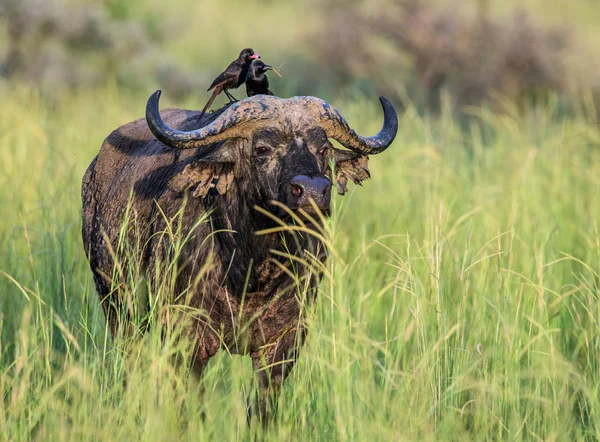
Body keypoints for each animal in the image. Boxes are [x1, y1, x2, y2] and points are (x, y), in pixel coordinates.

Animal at [81, 89, 398, 418]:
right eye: (262, 149)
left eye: (322, 149)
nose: (312, 191)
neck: (251, 270)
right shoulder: (187, 336)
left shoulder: (284, 342)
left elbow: (261, 409)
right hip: (119, 307)